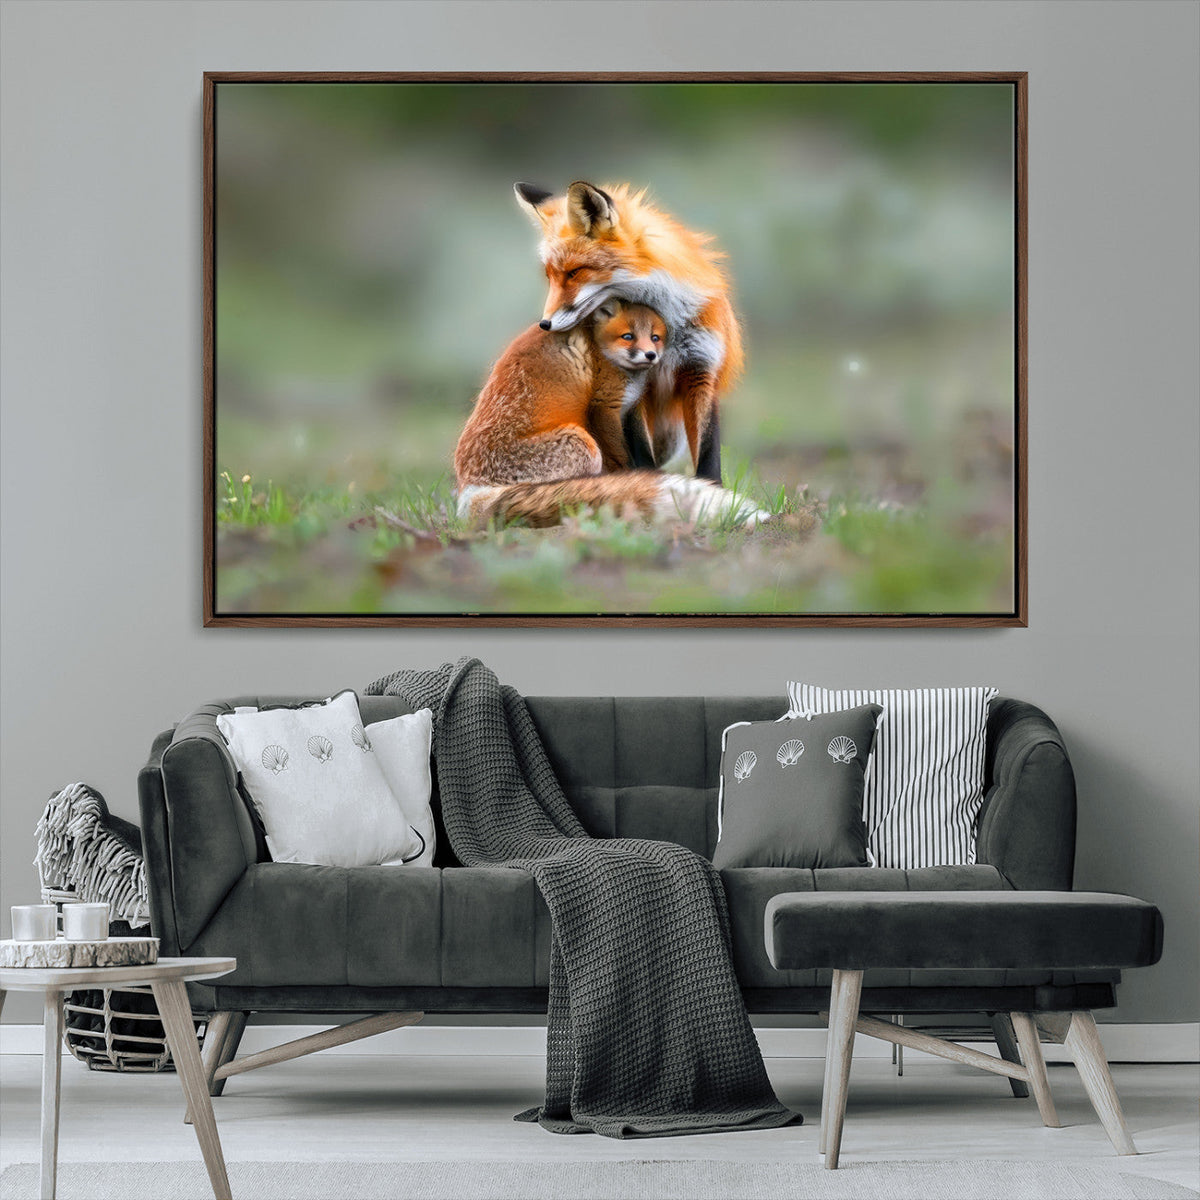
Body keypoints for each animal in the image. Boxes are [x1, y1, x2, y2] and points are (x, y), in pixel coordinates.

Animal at [454, 301, 762, 529]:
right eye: (628, 337)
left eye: (655, 337)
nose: (650, 355)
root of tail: (470, 489)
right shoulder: (604, 407)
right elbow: (623, 458)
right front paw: (634, 481)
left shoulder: (632, 410)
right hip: (583, 444)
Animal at [514, 180, 743, 485]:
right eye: (549, 277)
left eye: (574, 272)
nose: (544, 324)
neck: (667, 326)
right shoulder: (634, 385)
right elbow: (641, 452)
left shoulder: (701, 371)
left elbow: (708, 454)